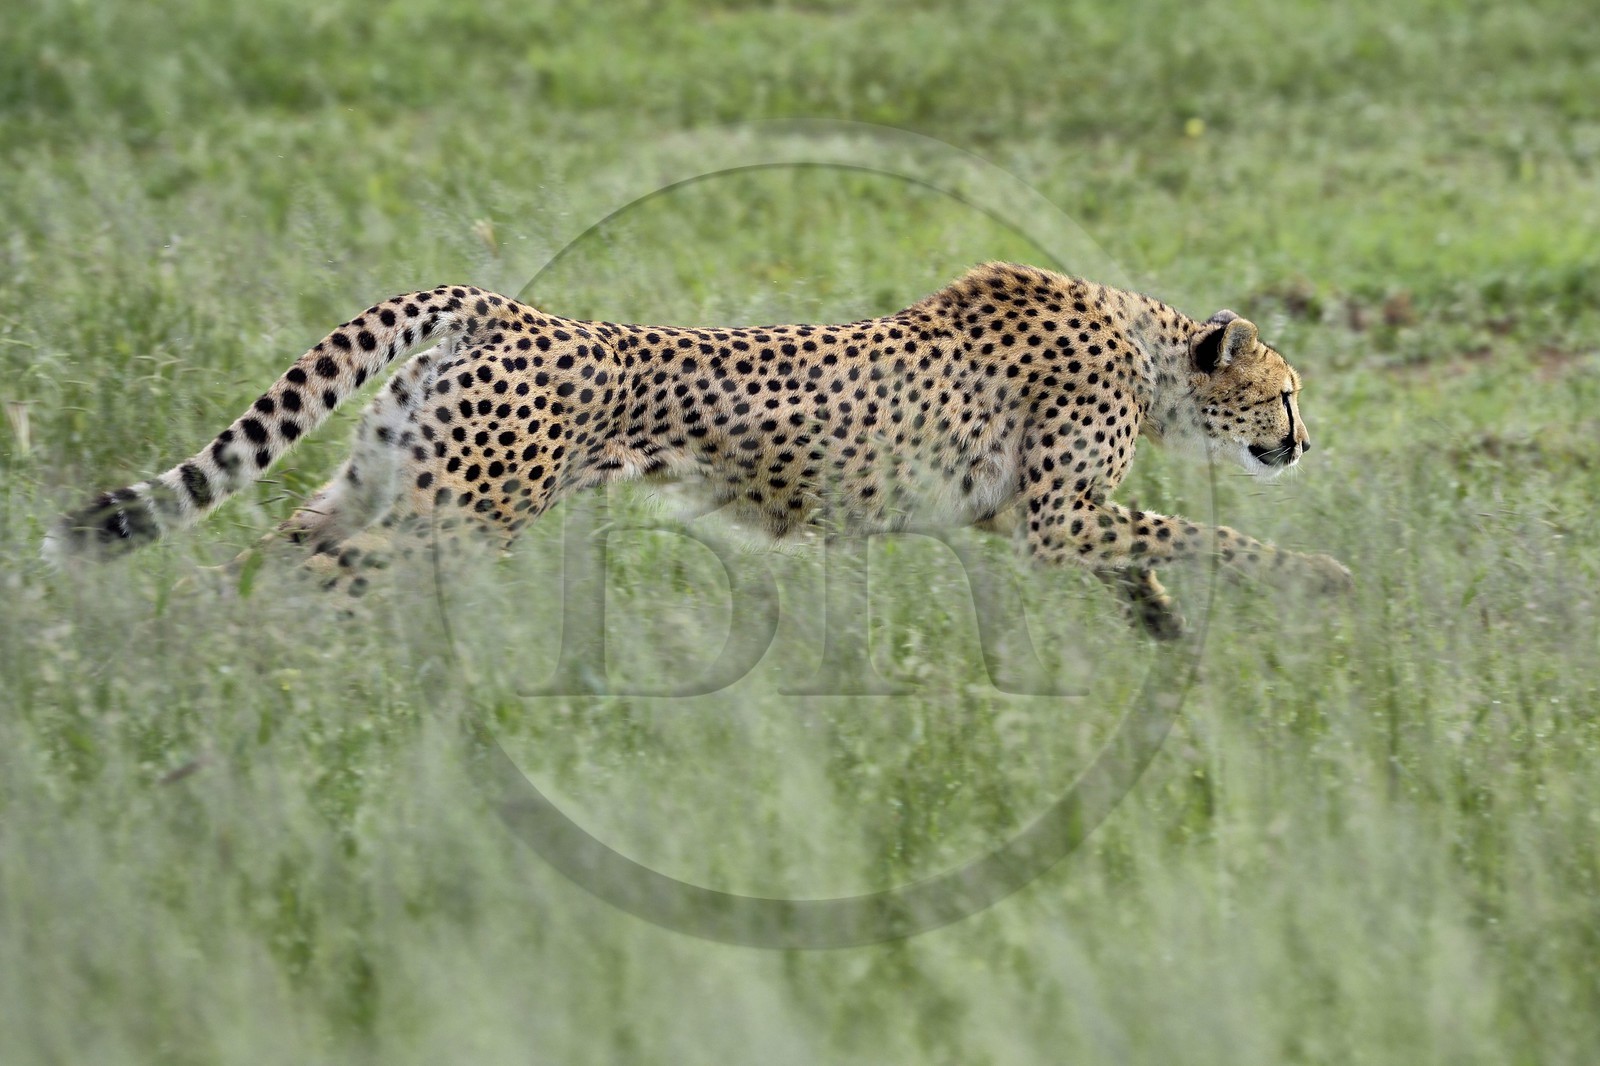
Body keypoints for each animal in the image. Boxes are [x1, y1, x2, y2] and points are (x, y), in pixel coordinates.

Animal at [45, 262, 1351, 639]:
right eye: (1284, 391)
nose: (1302, 440)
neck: (1147, 352)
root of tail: (494, 304)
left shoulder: (1043, 523)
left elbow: (1146, 558)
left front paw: (1165, 636)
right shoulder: (1052, 514)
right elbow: (1200, 532)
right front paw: (1325, 578)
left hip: (378, 483)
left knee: (258, 555)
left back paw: (178, 670)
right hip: (455, 519)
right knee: (310, 577)